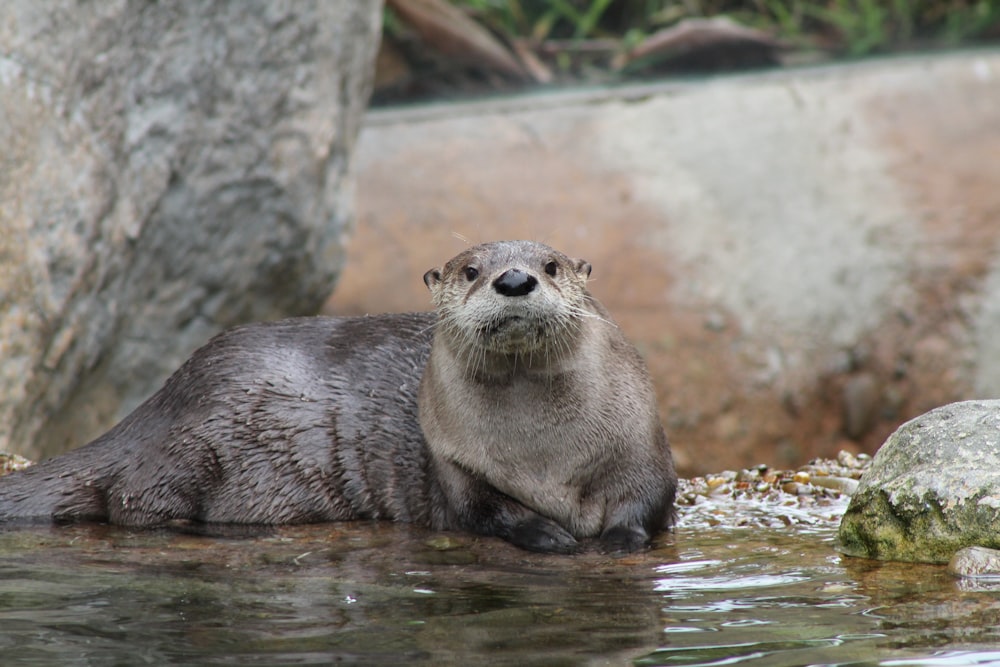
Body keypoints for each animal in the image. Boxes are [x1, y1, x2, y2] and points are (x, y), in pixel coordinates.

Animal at [0, 240, 676, 552]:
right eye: (469, 270)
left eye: (552, 266)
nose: (514, 278)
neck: (544, 458)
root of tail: (162, 399)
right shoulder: (455, 466)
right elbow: (484, 513)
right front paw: (547, 535)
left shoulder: (642, 444)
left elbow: (646, 503)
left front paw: (617, 540)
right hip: (200, 438)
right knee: (133, 501)